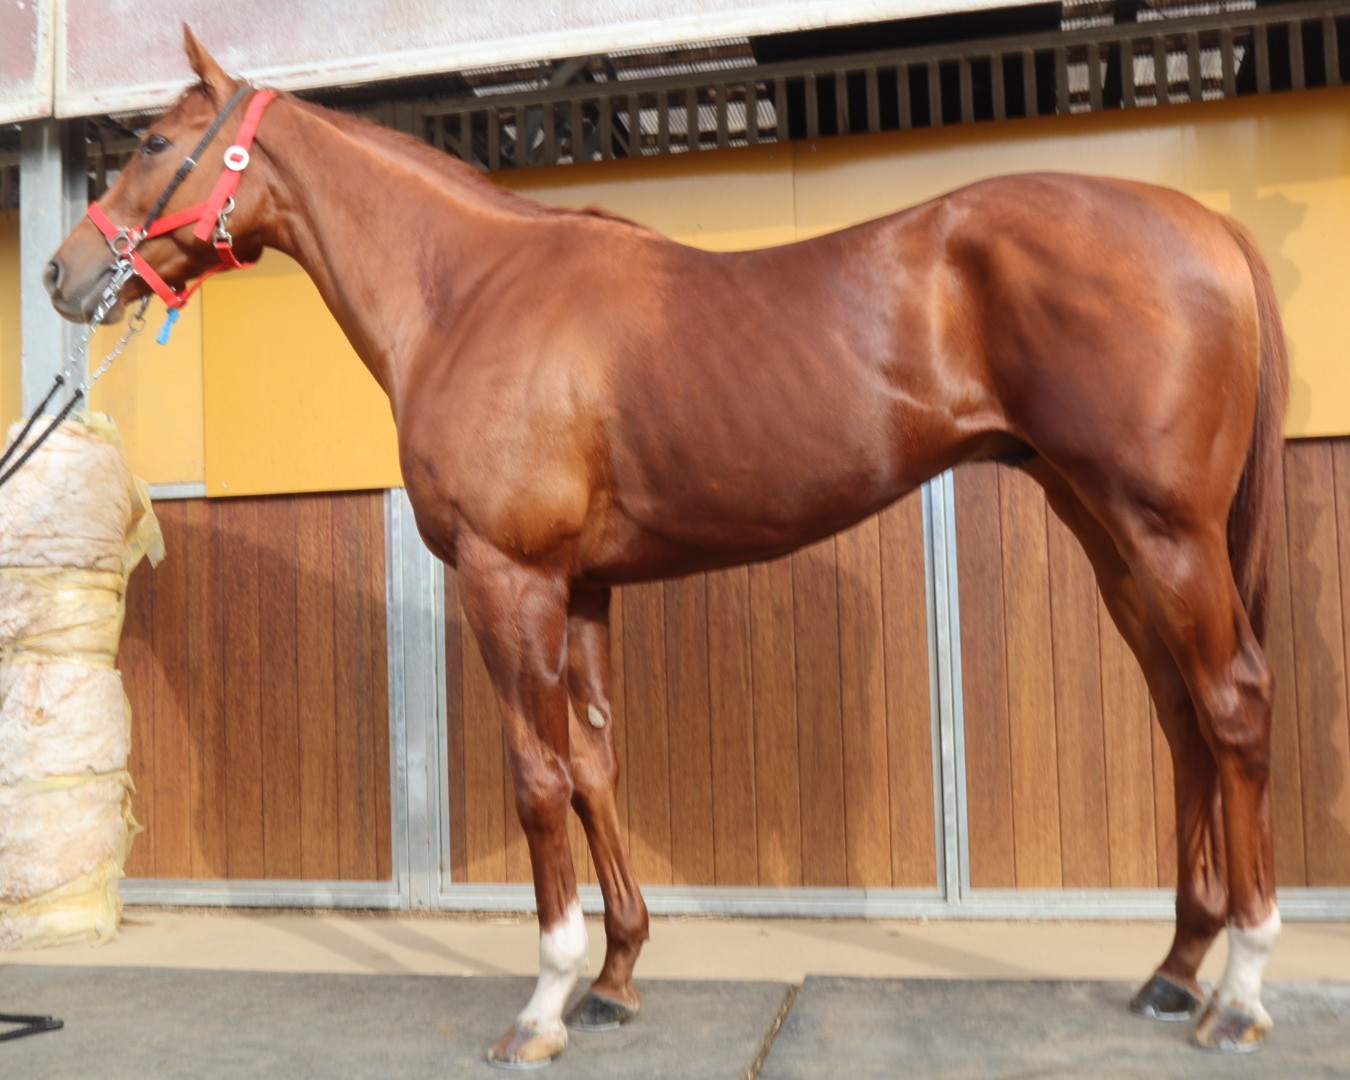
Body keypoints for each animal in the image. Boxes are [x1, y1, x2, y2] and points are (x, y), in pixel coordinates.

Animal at [46, 28, 1289, 1066]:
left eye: (150, 141)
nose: (63, 273)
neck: (469, 293)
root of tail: (1213, 228)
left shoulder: (510, 582)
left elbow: (539, 778)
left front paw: (546, 1002)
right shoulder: (586, 587)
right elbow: (598, 765)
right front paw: (617, 977)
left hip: (1165, 531)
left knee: (1232, 705)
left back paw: (1240, 990)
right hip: (1107, 532)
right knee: (1182, 717)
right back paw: (1175, 969)